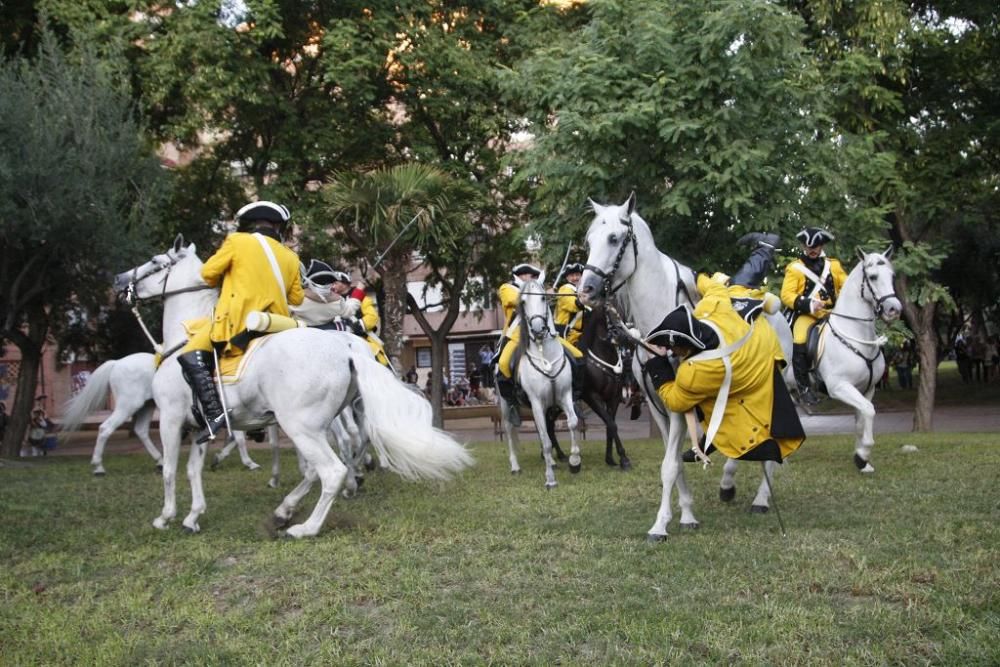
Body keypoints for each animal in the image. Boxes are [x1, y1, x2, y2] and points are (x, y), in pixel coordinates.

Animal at [113, 240, 472, 536]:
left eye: (156, 262)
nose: (119, 281)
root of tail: (346, 346)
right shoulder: (202, 424)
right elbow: (192, 469)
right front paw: (193, 516)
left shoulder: (172, 418)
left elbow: (171, 470)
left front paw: (166, 516)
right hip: (315, 424)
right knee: (330, 460)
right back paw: (288, 509)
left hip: (300, 425)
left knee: (331, 469)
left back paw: (306, 525)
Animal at [498, 276, 580, 490]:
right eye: (523, 301)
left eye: (543, 297)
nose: (537, 330)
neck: (545, 354)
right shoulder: (536, 403)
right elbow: (546, 440)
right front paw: (550, 479)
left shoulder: (564, 396)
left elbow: (573, 423)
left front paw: (574, 462)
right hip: (505, 405)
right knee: (509, 430)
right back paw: (515, 466)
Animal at [580, 194, 796, 544]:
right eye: (589, 241)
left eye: (614, 238)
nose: (585, 291)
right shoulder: (660, 410)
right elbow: (674, 465)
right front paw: (687, 516)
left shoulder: (679, 407)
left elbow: (668, 466)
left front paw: (659, 526)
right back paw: (727, 485)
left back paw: (762, 499)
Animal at [808, 248, 904, 472]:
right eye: (873, 277)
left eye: (892, 276)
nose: (894, 309)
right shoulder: (840, 387)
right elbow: (869, 411)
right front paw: (862, 455)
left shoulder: (866, 389)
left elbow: (861, 420)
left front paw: (862, 459)